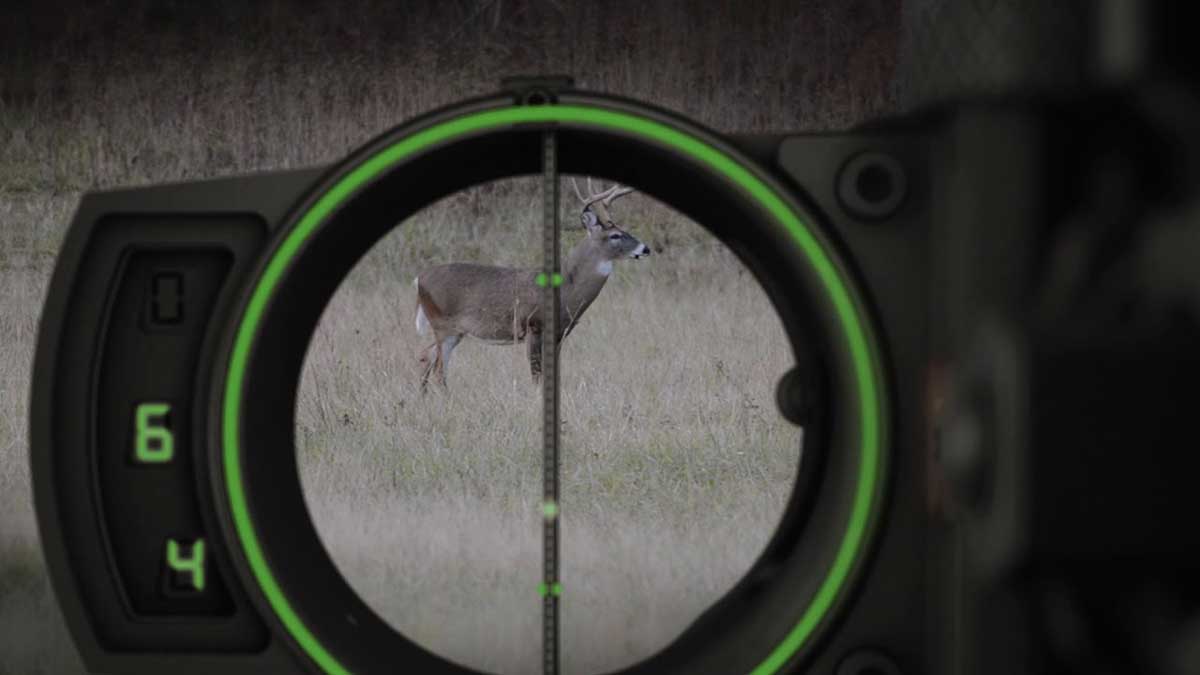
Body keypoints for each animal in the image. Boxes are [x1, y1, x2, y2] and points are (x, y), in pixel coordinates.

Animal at [413, 178, 650, 392]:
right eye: (615, 235)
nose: (645, 248)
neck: (566, 290)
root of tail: (419, 278)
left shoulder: (560, 333)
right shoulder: (533, 325)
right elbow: (536, 374)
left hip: (454, 330)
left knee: (426, 355)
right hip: (443, 324)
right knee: (439, 369)